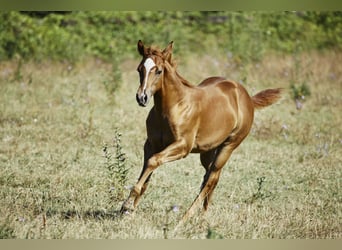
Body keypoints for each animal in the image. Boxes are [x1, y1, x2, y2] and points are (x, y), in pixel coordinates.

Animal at [120, 41, 280, 223]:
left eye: (159, 71)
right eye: (139, 69)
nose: (142, 97)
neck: (173, 107)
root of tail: (246, 97)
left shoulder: (183, 147)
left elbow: (153, 161)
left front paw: (126, 205)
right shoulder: (151, 144)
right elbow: (148, 172)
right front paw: (130, 209)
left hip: (229, 146)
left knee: (211, 179)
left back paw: (187, 216)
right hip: (208, 151)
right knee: (210, 177)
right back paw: (203, 214)